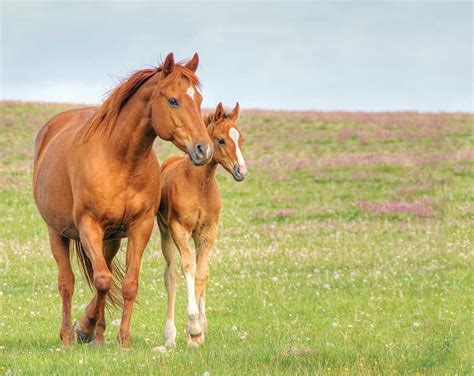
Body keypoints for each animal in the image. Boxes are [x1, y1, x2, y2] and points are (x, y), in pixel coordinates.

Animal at [32, 51, 212, 348]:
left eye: (198, 100)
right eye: (173, 100)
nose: (203, 149)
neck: (122, 160)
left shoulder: (140, 228)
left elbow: (127, 284)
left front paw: (122, 340)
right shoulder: (89, 226)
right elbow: (103, 280)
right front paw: (85, 326)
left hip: (110, 241)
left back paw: (98, 334)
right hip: (57, 233)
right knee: (67, 282)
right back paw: (69, 336)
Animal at [158, 102, 250, 346]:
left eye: (241, 139)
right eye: (221, 140)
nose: (241, 171)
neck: (199, 184)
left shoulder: (208, 232)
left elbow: (202, 274)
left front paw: (198, 332)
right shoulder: (179, 230)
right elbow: (188, 268)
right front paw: (192, 325)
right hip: (165, 233)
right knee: (171, 276)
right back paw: (169, 336)